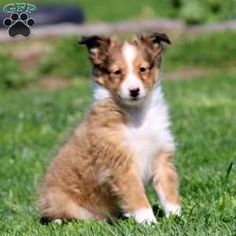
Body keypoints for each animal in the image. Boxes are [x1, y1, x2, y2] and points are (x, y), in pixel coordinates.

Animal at [37, 32, 181, 223]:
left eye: (142, 69)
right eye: (117, 72)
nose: (134, 91)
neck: (136, 116)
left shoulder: (161, 158)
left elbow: (169, 191)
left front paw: (177, 217)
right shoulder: (121, 165)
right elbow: (137, 196)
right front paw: (149, 222)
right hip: (62, 200)